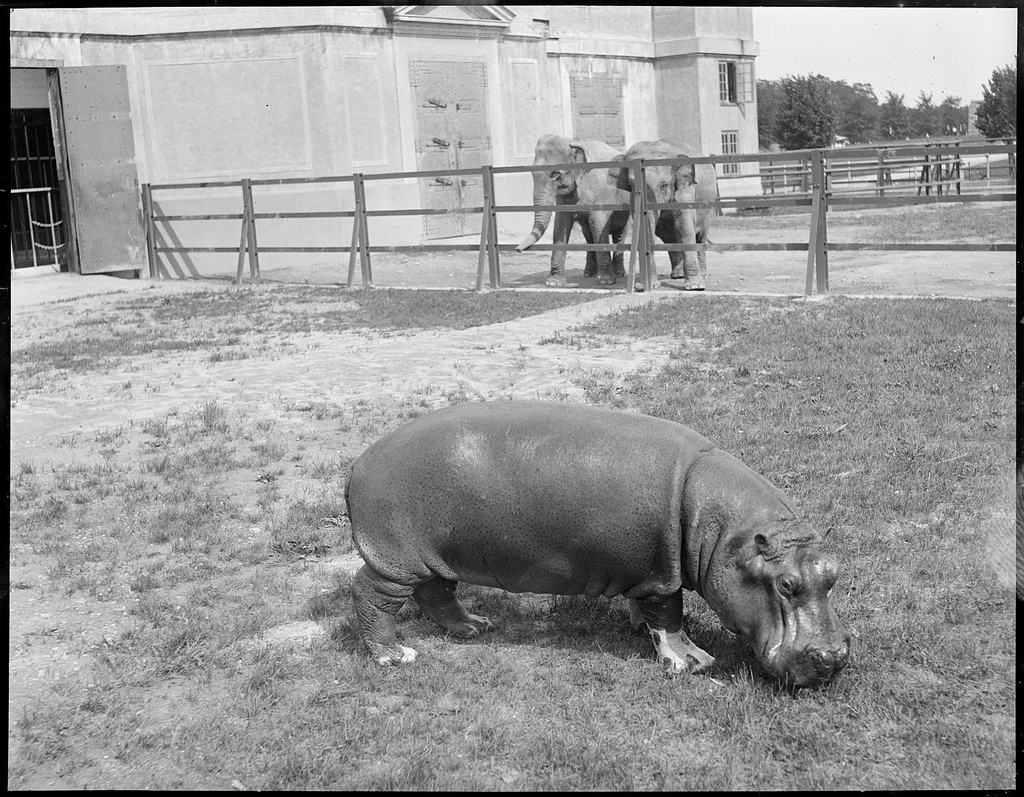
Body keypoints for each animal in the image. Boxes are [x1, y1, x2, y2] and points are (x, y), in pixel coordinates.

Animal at [517, 134, 631, 287]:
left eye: (555, 173)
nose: (517, 249)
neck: (571, 142)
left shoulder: (601, 194)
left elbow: (599, 223)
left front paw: (606, 282)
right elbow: (561, 223)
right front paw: (554, 283)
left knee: (620, 234)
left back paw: (619, 273)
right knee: (588, 235)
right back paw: (588, 273)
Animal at [621, 139, 720, 291]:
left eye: (664, 185)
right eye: (631, 185)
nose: (640, 286)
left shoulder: (685, 189)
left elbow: (684, 226)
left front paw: (695, 286)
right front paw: (651, 285)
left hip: (708, 205)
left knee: (701, 235)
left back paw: (703, 274)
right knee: (668, 236)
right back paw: (678, 274)